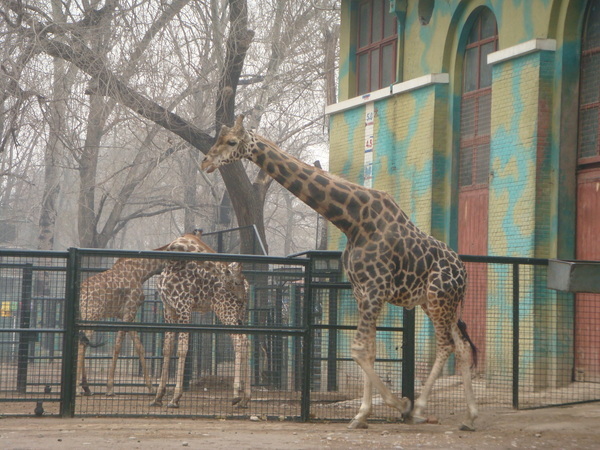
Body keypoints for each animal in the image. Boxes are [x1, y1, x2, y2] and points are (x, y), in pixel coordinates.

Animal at [76, 230, 210, 396]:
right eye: (196, 246)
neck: (141, 271)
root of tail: (81, 291)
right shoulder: (130, 308)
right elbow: (118, 345)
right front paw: (110, 387)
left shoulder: (129, 314)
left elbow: (139, 346)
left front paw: (151, 387)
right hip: (92, 314)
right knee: (82, 342)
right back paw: (79, 388)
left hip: (86, 315)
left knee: (83, 341)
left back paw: (86, 387)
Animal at [202, 114, 478, 430]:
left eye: (231, 141)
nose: (206, 162)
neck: (353, 221)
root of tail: (464, 273)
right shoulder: (361, 292)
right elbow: (369, 350)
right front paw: (362, 415)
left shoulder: (375, 290)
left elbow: (358, 349)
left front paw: (399, 404)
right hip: (439, 305)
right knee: (462, 347)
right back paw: (470, 416)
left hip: (437, 300)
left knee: (446, 345)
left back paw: (419, 407)